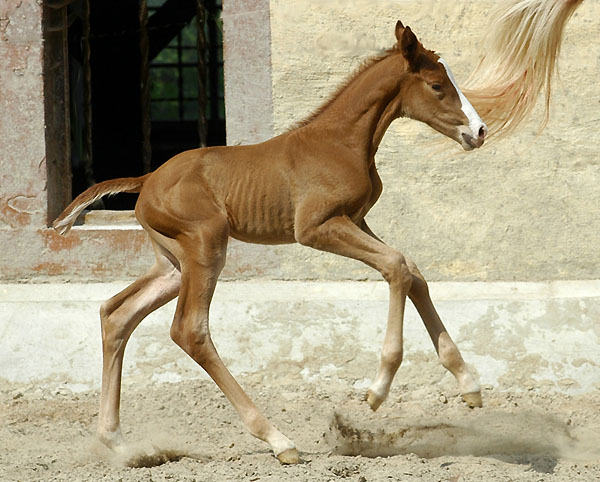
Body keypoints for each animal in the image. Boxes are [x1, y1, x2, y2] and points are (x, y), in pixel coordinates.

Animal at [54, 21, 488, 464]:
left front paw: (468, 384)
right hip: (206, 245)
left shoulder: (356, 221)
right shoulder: (315, 227)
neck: (342, 141)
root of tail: (147, 180)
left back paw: (118, 442)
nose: (479, 131)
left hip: (173, 265)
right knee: (189, 330)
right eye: (437, 85)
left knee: (117, 314)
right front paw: (377, 392)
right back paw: (279, 440)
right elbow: (397, 267)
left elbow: (412, 270)